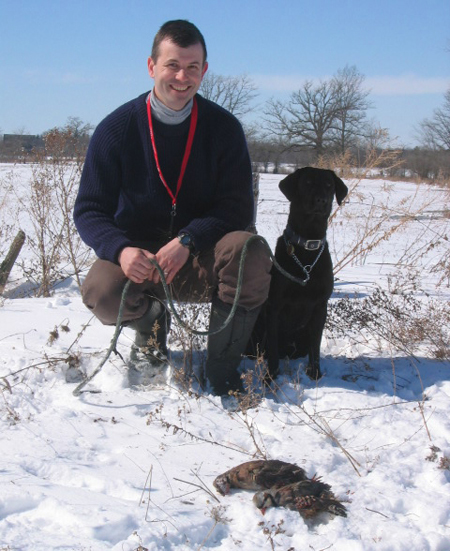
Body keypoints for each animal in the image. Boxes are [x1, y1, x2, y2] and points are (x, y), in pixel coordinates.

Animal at [248, 168, 346, 382]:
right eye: (307, 182)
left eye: (329, 185)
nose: (321, 200)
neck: (307, 246)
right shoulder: (275, 306)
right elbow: (273, 348)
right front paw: (270, 377)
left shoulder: (320, 306)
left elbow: (315, 346)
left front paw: (315, 373)